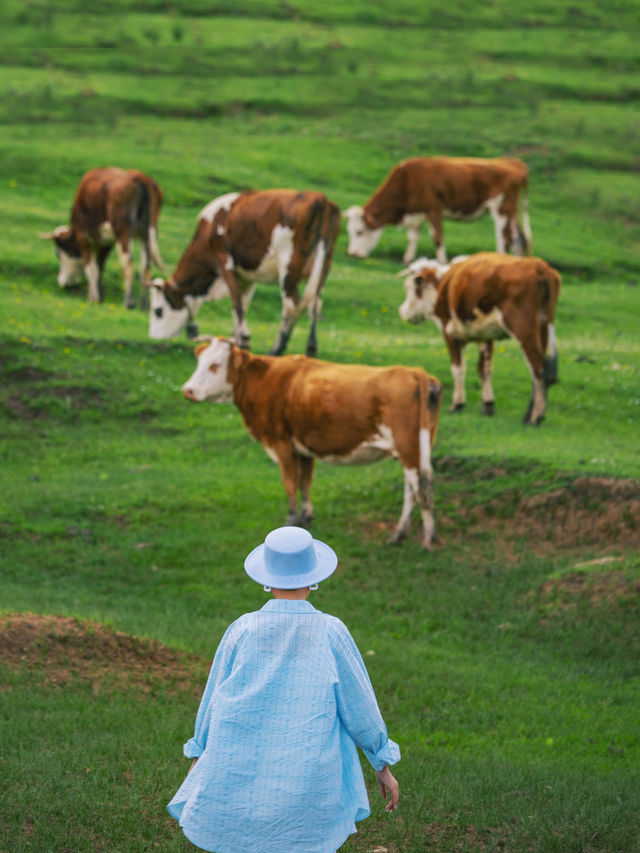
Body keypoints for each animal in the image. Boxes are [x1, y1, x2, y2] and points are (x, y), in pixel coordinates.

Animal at [38, 166, 164, 306]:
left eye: (58, 254)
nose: (62, 282)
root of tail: (141, 178)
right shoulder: (107, 242)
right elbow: (100, 266)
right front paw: (100, 294)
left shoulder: (83, 238)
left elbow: (91, 268)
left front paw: (93, 298)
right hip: (145, 233)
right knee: (146, 265)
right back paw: (144, 303)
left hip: (123, 231)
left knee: (128, 262)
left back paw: (129, 301)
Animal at [148, 190, 342, 356]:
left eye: (158, 311)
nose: (154, 338)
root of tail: (320, 198)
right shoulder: (246, 277)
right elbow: (243, 303)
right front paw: (236, 339)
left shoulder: (224, 263)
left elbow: (237, 303)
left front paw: (243, 340)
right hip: (323, 264)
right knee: (314, 304)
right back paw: (311, 348)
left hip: (288, 265)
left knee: (292, 306)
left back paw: (277, 348)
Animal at [180, 336, 440, 548]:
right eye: (199, 363)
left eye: (215, 365)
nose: (187, 390)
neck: (265, 380)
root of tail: (414, 372)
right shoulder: (303, 448)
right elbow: (305, 482)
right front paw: (306, 517)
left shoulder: (282, 444)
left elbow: (290, 483)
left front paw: (291, 519)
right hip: (415, 450)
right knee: (414, 488)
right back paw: (401, 534)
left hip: (408, 449)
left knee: (420, 487)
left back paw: (425, 537)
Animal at [344, 155, 528, 264]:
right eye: (349, 232)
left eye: (359, 231)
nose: (352, 254)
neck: (407, 181)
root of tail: (512, 162)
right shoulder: (415, 214)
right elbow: (412, 238)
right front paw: (407, 259)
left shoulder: (433, 210)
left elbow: (438, 238)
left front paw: (442, 261)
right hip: (512, 213)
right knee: (519, 237)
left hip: (501, 209)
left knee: (504, 238)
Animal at [398, 251, 564, 426]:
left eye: (409, 287)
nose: (402, 311)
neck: (444, 283)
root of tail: (539, 266)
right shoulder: (485, 336)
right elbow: (484, 369)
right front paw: (488, 404)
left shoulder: (449, 332)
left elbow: (458, 368)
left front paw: (457, 404)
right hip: (542, 329)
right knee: (539, 371)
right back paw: (528, 415)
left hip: (524, 329)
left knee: (538, 368)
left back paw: (536, 417)